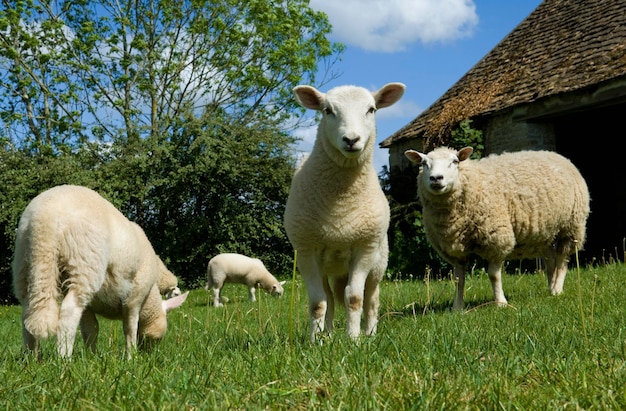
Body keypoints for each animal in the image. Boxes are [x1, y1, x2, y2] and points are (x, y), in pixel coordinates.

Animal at [11, 185, 188, 358]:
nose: (149, 355)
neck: (150, 297)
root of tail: (45, 217)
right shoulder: (134, 299)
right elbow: (130, 329)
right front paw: (131, 357)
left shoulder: (90, 306)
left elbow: (91, 329)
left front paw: (92, 357)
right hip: (85, 263)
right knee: (69, 311)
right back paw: (64, 359)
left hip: (25, 263)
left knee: (28, 311)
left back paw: (32, 358)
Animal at [282, 82, 404, 342]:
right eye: (327, 110)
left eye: (371, 109)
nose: (351, 139)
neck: (341, 206)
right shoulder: (306, 250)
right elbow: (318, 302)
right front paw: (315, 341)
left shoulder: (364, 247)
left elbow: (355, 298)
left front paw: (354, 339)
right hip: (329, 268)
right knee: (329, 297)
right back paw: (328, 334)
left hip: (378, 264)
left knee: (371, 299)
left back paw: (370, 332)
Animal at [402, 146, 588, 310]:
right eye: (424, 163)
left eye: (455, 161)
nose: (436, 178)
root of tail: (556, 155)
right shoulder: (455, 250)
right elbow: (458, 279)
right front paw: (457, 307)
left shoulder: (497, 239)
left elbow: (493, 275)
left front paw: (500, 303)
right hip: (546, 232)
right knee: (550, 259)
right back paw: (550, 287)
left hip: (571, 225)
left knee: (562, 259)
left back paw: (557, 289)